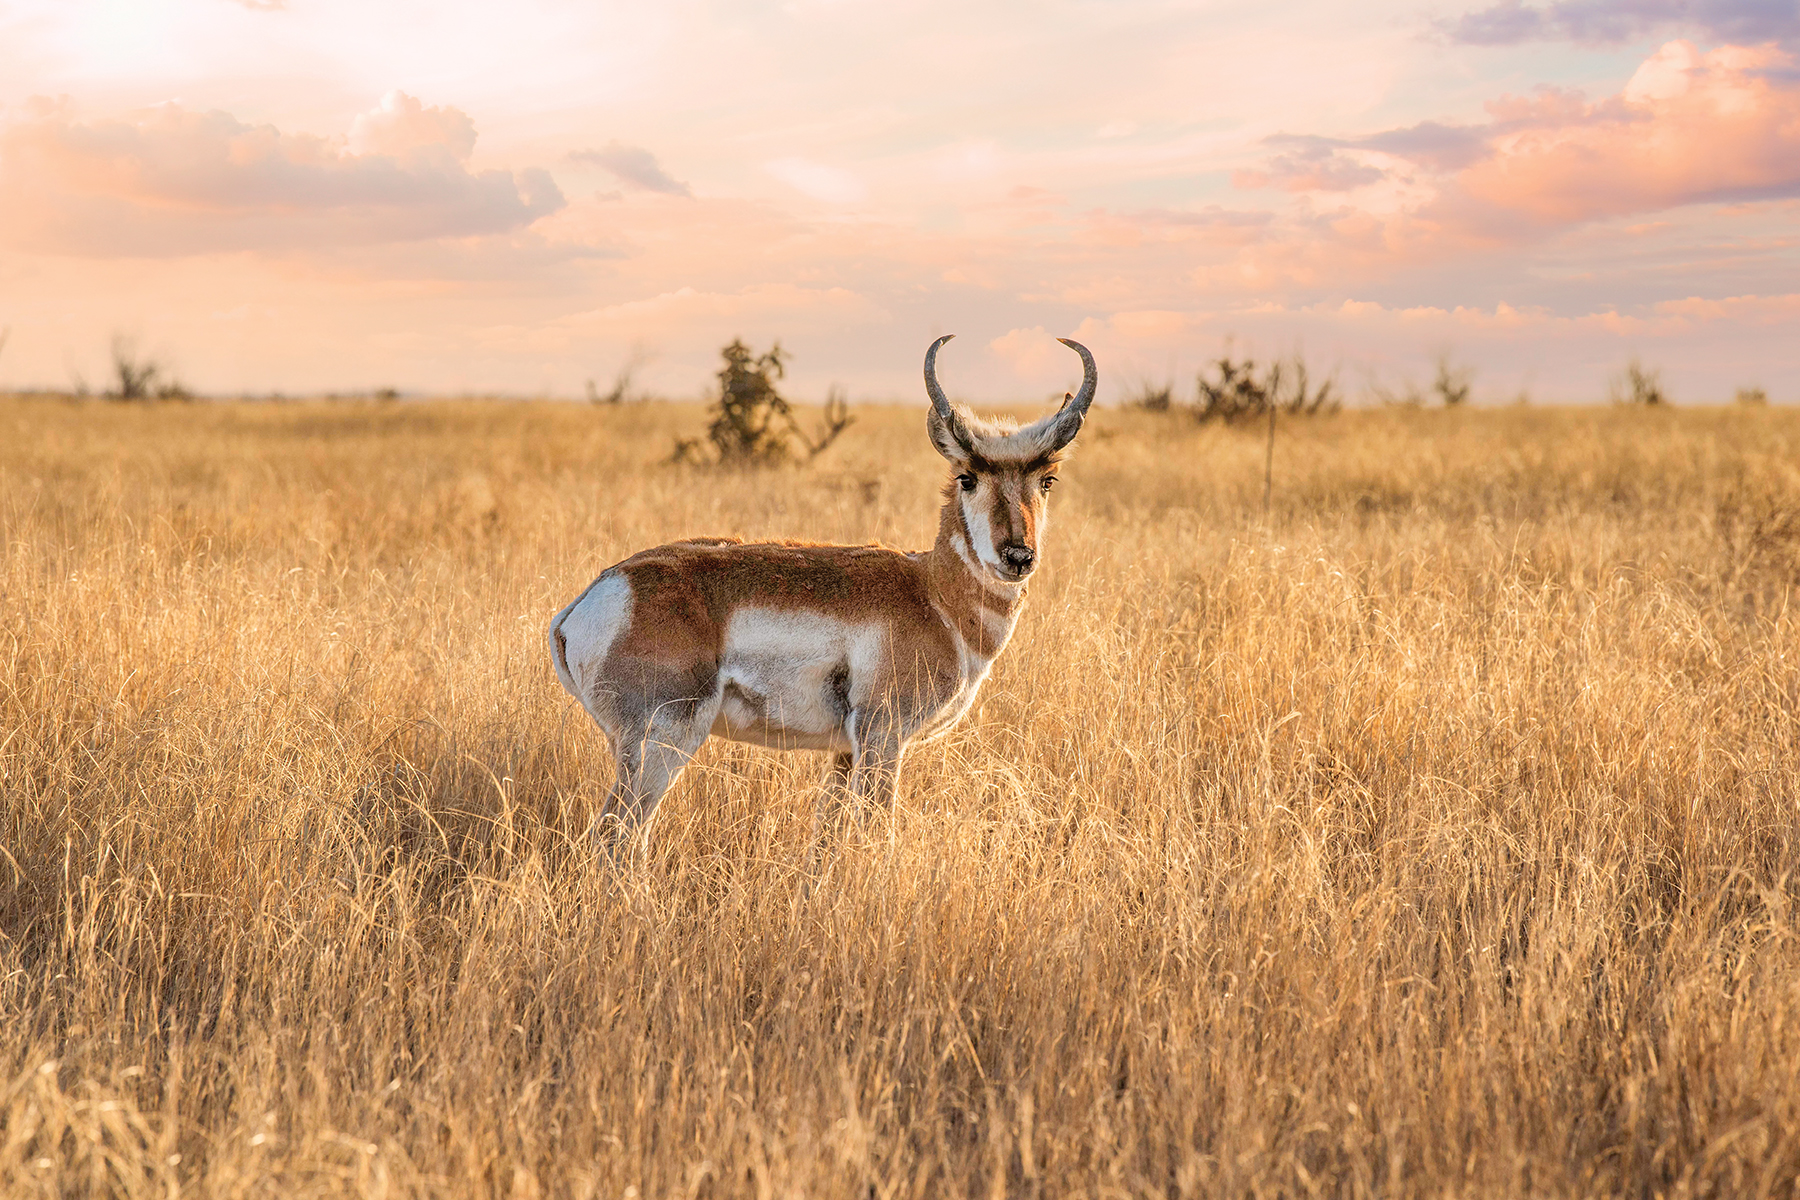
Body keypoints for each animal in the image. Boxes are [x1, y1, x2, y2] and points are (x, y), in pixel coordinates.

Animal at [540, 332, 1094, 849]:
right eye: (967, 477)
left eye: (1047, 480)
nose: (1018, 556)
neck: (932, 593)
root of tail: (595, 597)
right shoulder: (883, 741)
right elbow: (875, 834)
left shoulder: (844, 754)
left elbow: (825, 840)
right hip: (663, 747)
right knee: (617, 838)